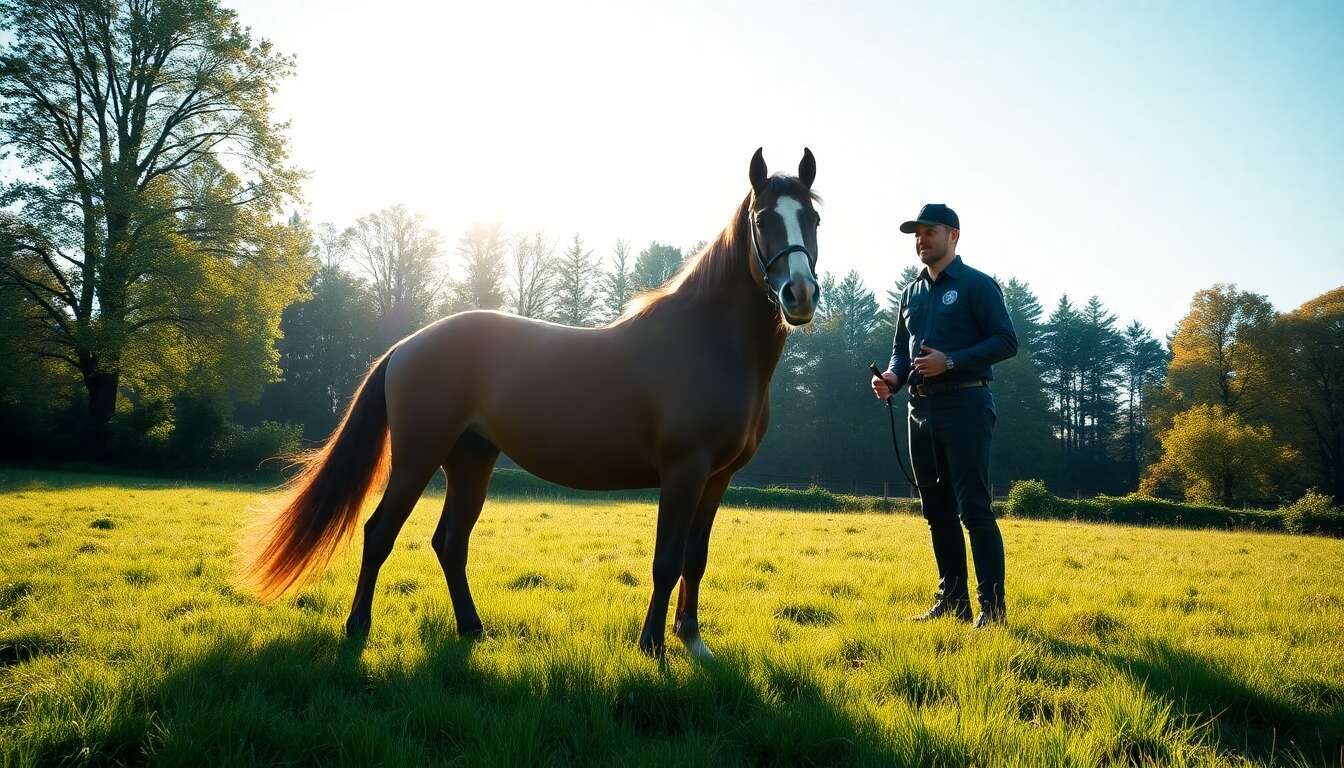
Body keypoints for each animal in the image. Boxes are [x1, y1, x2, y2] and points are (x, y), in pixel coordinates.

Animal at [244, 148, 822, 658]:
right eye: (764, 219)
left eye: (813, 217)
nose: (799, 295)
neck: (704, 342)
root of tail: (406, 345)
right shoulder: (684, 472)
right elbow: (666, 561)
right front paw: (652, 647)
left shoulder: (717, 478)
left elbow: (694, 561)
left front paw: (693, 642)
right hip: (415, 459)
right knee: (380, 532)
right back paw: (358, 628)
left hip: (471, 460)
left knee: (450, 542)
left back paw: (472, 629)